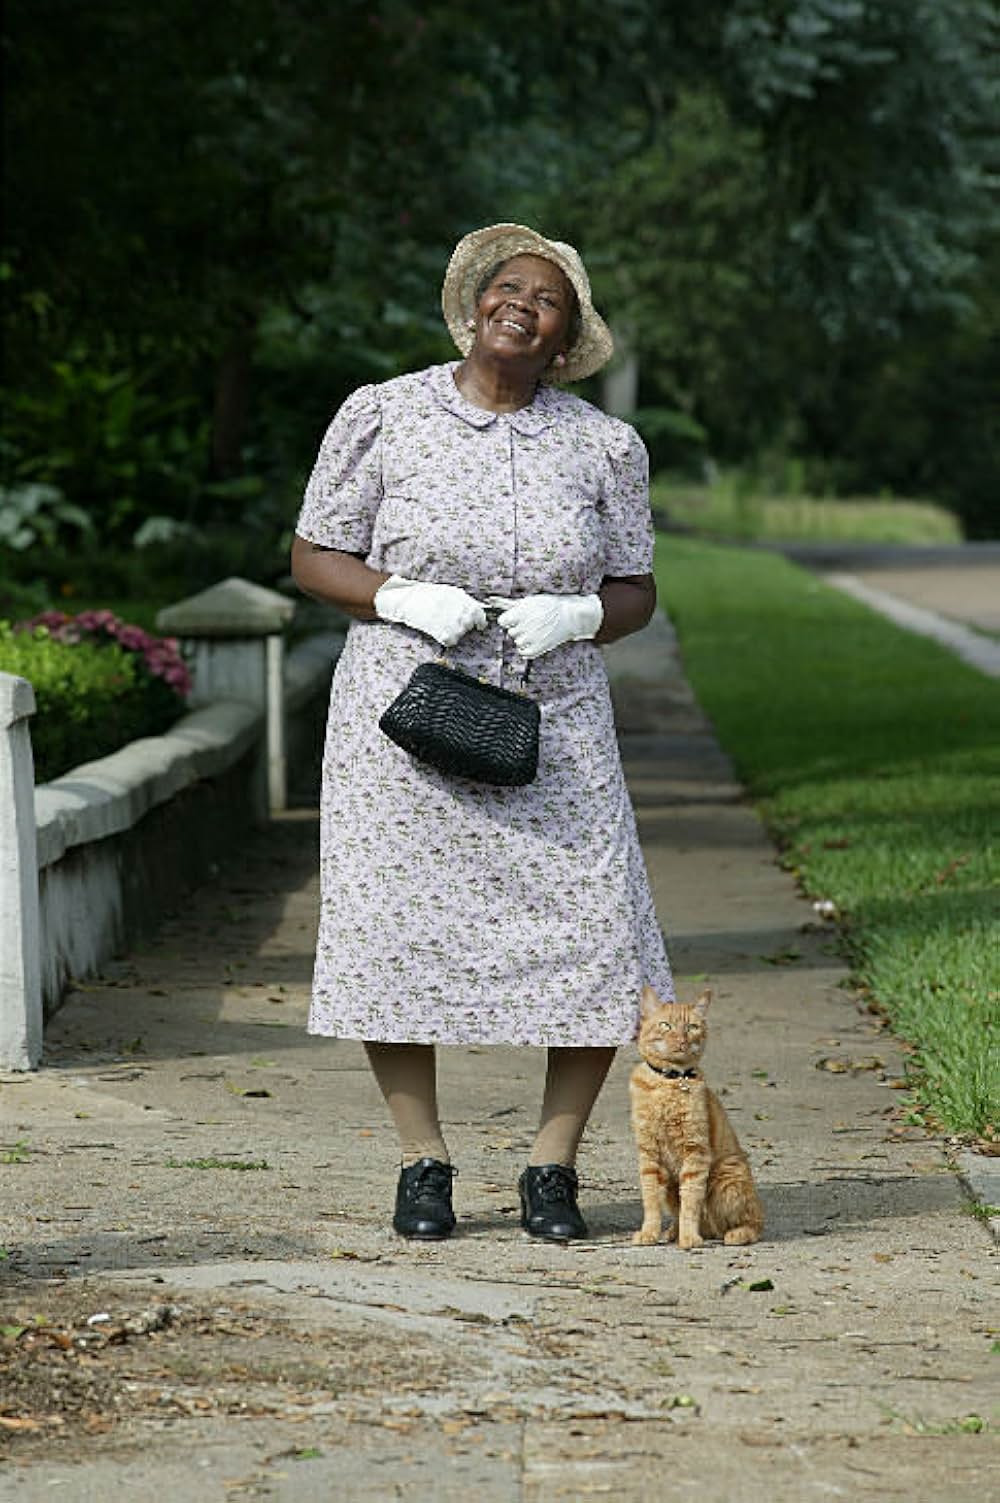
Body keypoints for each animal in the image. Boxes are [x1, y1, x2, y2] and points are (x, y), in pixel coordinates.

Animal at [631, 979, 763, 1250]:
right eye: (666, 1025)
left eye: (691, 1027)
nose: (681, 1040)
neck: (670, 1082)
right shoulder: (649, 1155)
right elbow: (651, 1200)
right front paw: (649, 1233)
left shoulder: (695, 1152)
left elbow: (691, 1202)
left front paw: (689, 1238)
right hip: (672, 1185)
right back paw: (673, 1232)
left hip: (726, 1183)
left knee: (753, 1223)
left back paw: (735, 1234)